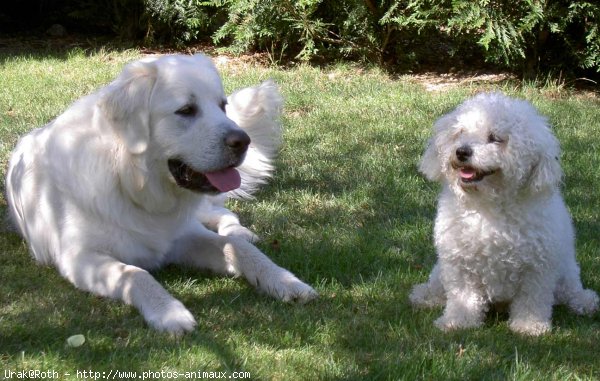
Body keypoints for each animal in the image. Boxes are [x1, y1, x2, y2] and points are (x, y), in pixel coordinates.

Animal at [5, 52, 318, 332]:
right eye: (186, 110)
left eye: (222, 106)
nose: (242, 141)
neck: (131, 182)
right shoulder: (81, 258)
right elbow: (135, 273)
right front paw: (169, 313)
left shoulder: (182, 235)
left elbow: (237, 248)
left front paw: (286, 281)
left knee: (224, 215)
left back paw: (240, 231)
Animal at [410, 92, 596, 336]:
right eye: (460, 132)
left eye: (495, 138)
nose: (461, 151)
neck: (490, 207)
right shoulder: (459, 264)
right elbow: (462, 297)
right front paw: (458, 322)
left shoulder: (537, 269)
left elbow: (531, 300)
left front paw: (529, 326)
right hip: (441, 269)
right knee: (437, 284)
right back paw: (425, 296)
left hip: (566, 271)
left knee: (571, 290)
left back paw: (585, 301)